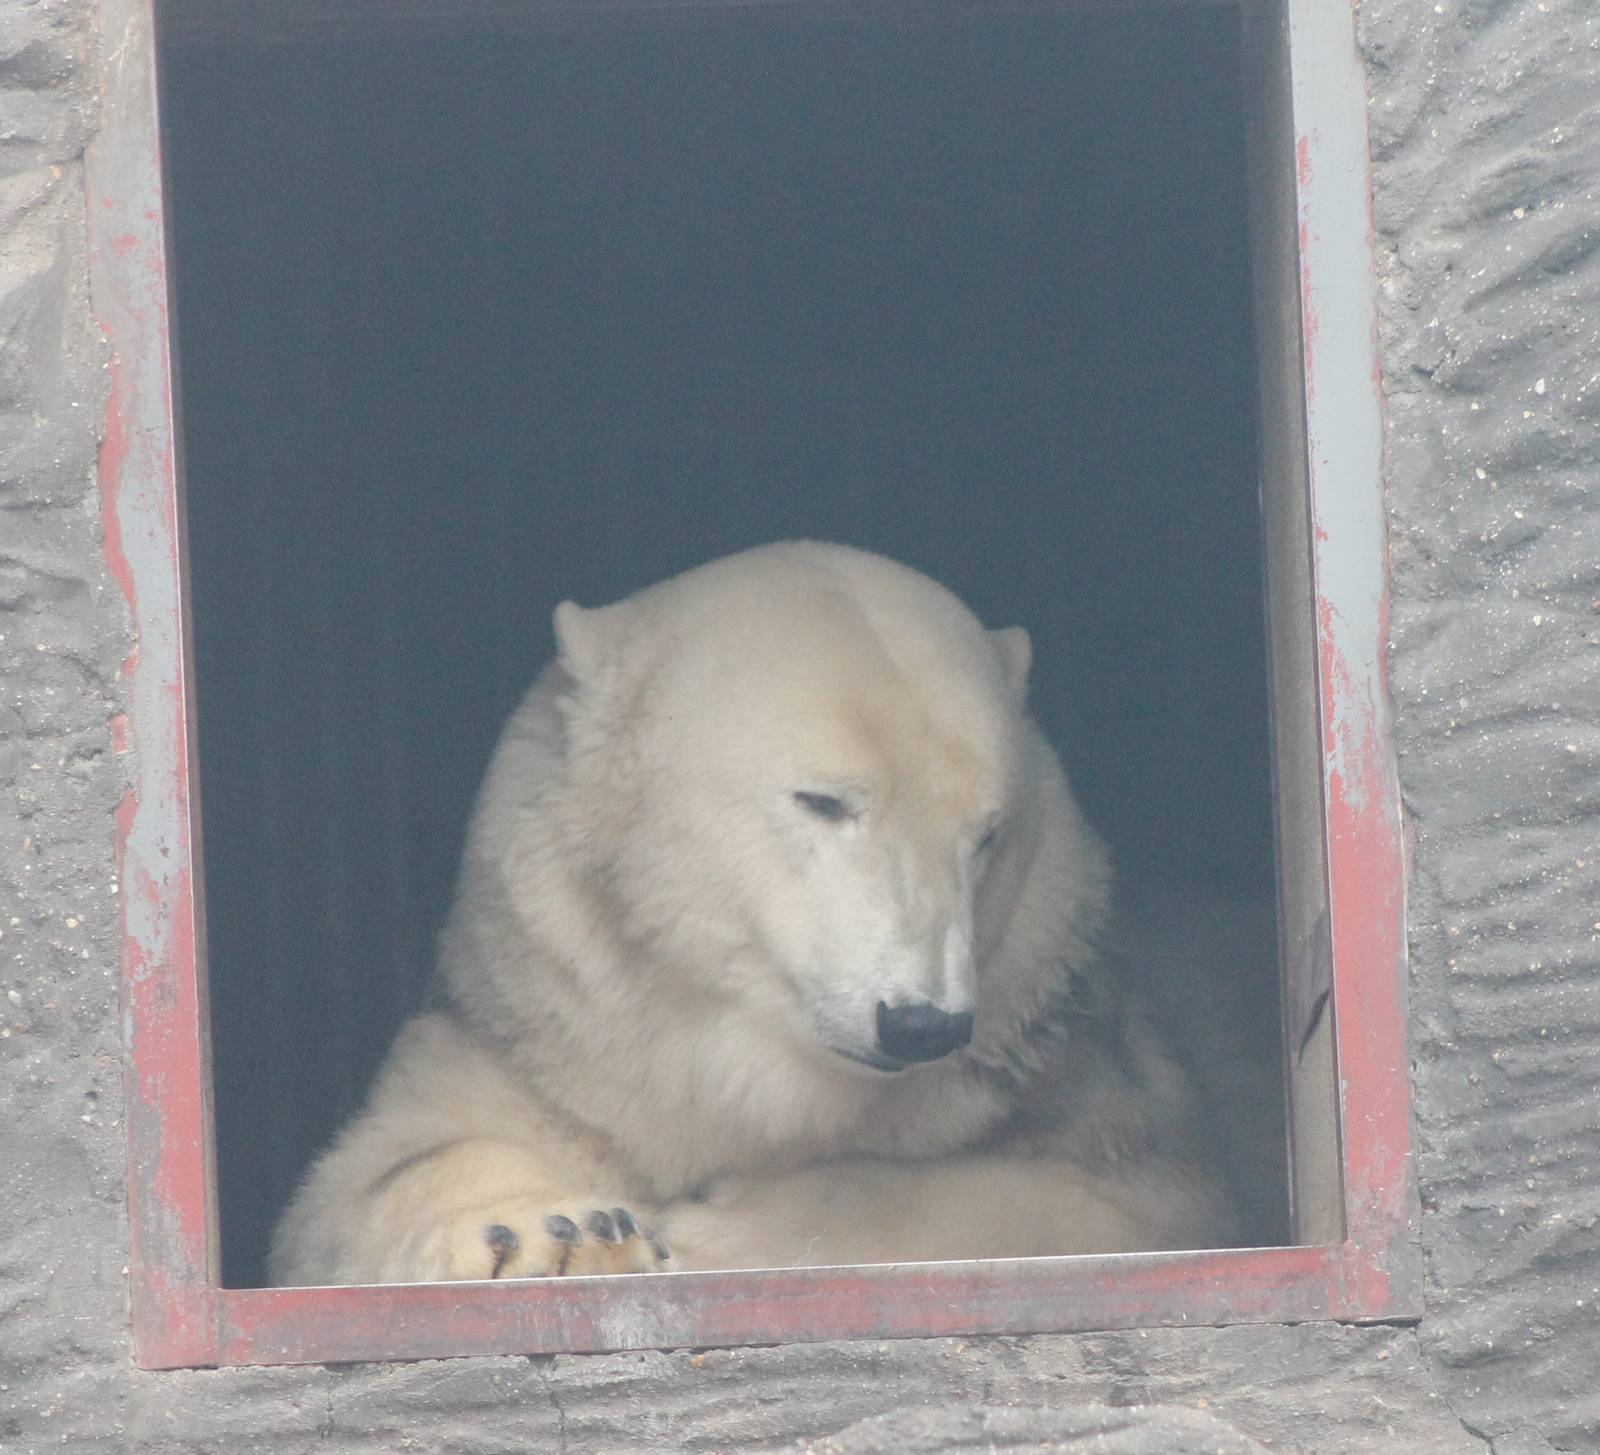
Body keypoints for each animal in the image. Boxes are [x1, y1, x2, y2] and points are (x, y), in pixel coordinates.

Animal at [268, 542, 1237, 1284]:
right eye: (823, 800)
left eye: (987, 833)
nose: (921, 1021)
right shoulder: (534, 1033)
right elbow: (367, 1177)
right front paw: (563, 1231)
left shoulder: (1078, 1072)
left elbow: (1103, 1204)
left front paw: (704, 1231)